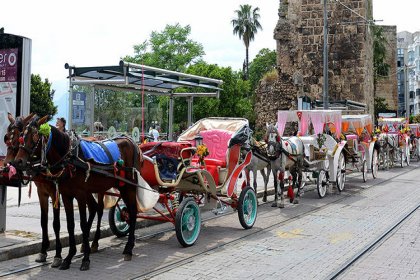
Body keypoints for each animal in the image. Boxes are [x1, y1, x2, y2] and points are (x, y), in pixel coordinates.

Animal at [4, 113, 104, 266]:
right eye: (7, 136)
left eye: (18, 136)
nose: (10, 163)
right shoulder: (42, 193)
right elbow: (44, 221)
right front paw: (43, 251)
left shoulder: (55, 192)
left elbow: (56, 223)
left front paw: (57, 255)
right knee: (93, 207)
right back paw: (85, 244)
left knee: (100, 208)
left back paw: (94, 243)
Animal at [13, 116, 140, 272]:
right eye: (21, 136)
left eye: (35, 136)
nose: (18, 161)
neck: (69, 158)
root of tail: (130, 141)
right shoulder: (65, 195)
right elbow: (69, 225)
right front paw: (68, 257)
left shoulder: (77, 194)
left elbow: (82, 225)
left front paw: (84, 260)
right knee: (101, 208)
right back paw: (93, 245)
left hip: (129, 187)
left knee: (131, 212)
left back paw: (128, 248)